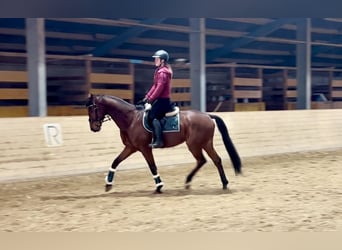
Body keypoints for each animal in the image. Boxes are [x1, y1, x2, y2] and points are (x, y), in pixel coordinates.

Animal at [85, 94, 240, 193]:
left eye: (93, 108)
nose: (93, 127)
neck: (131, 119)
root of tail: (208, 115)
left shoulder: (144, 148)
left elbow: (152, 166)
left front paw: (159, 186)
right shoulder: (131, 147)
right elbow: (116, 161)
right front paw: (108, 183)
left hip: (194, 145)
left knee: (203, 160)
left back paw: (191, 181)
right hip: (205, 143)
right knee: (215, 160)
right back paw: (222, 183)